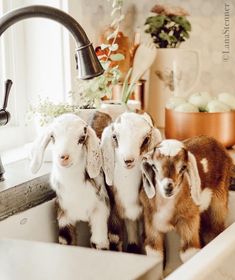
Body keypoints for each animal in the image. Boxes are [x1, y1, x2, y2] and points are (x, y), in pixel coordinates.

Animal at [29, 114, 109, 249]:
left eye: (82, 138)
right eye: (52, 136)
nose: (64, 157)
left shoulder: (101, 211)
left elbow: (99, 242)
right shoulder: (63, 215)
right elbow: (67, 241)